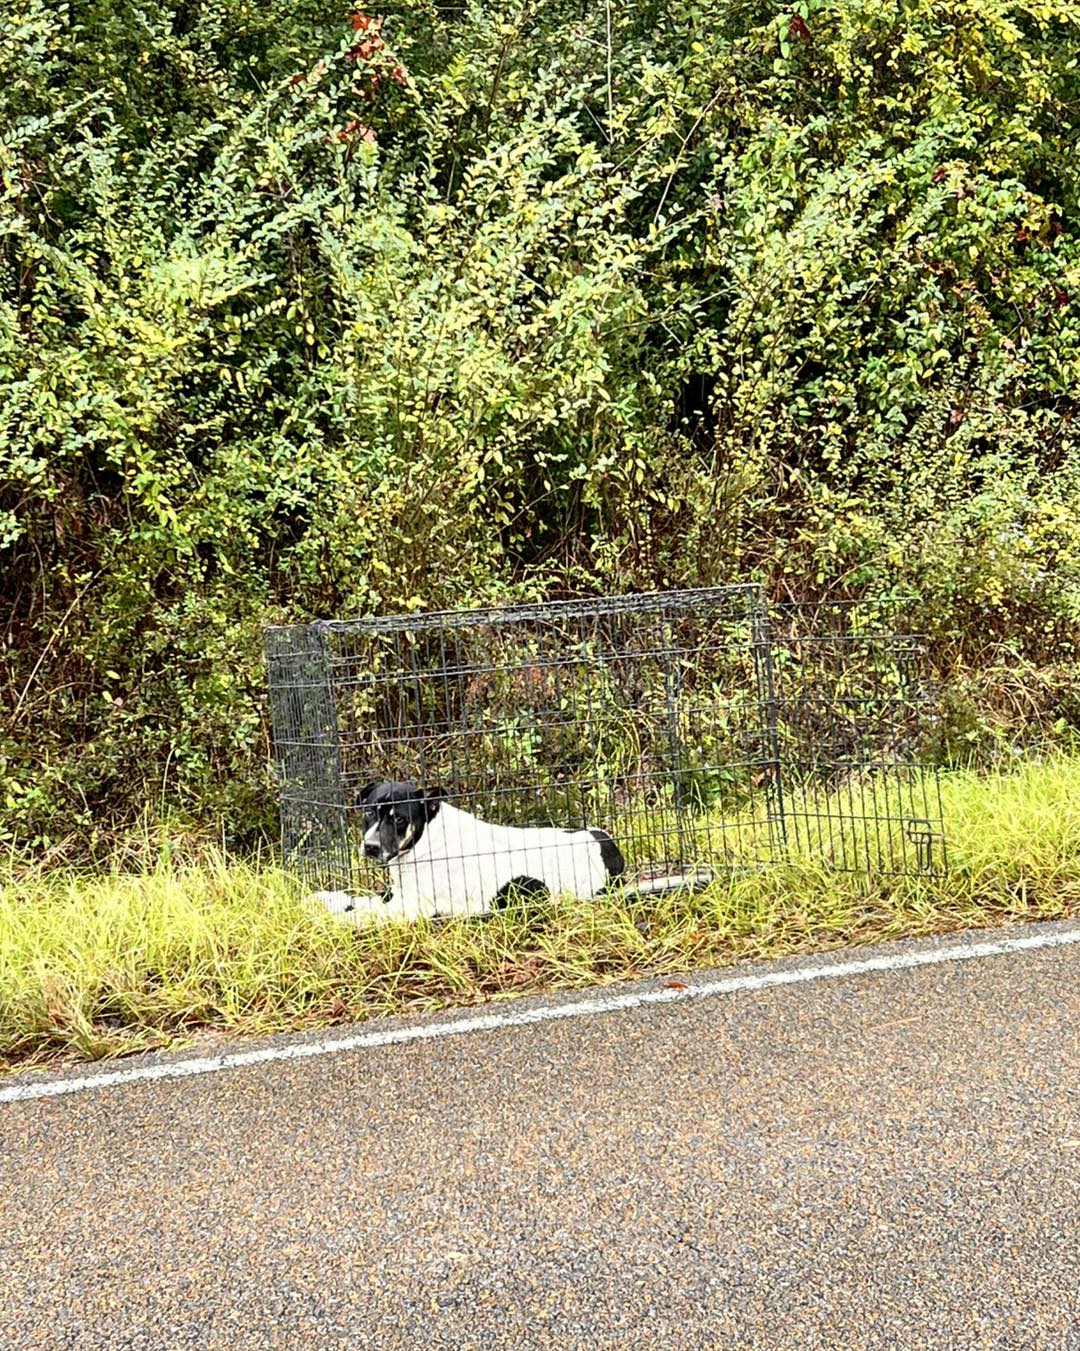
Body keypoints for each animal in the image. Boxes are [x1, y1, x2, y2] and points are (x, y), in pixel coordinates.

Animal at [308, 783, 624, 929]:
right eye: (369, 812)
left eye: (399, 818)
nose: (371, 847)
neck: (426, 840)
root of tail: (610, 848)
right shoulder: (397, 894)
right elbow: (358, 899)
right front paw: (324, 900)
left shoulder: (410, 907)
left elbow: (362, 914)